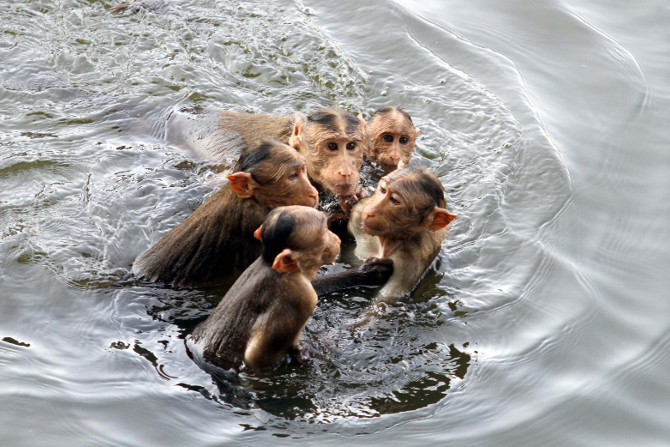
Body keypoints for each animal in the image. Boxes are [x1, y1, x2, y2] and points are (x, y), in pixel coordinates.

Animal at [350, 166, 460, 300]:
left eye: (394, 200)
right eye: (383, 190)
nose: (370, 211)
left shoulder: (410, 263)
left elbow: (386, 299)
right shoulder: (357, 213)